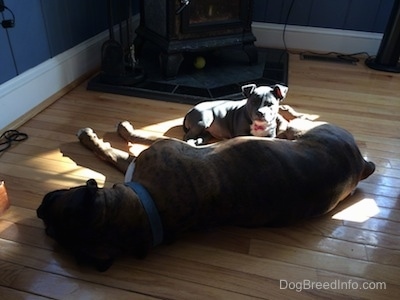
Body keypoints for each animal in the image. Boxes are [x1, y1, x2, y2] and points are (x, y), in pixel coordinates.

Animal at [36, 118, 376, 272]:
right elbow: (114, 154)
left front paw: (108, 134)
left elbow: (132, 140)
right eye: (50, 230)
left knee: (291, 120)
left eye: (58, 202)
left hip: (306, 129)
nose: (40, 207)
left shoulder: (156, 151)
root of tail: (361, 163)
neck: (150, 210)